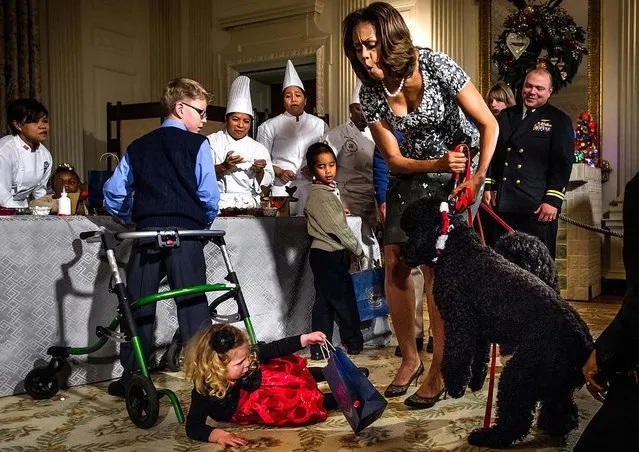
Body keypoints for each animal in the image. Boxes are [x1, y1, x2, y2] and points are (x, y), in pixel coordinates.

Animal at [400, 199, 596, 448]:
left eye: (413, 229)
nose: (403, 253)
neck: (458, 249)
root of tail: (586, 344)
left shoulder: (459, 322)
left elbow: (457, 356)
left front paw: (455, 385)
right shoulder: (480, 331)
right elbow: (480, 358)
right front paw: (475, 381)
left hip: (521, 374)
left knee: (516, 421)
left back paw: (487, 436)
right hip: (551, 379)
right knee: (563, 409)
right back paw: (553, 428)